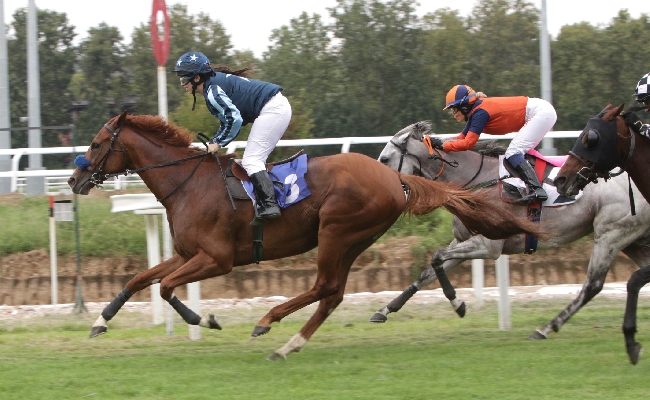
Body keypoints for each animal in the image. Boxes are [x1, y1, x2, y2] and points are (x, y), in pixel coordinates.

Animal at [68, 111, 540, 360]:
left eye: (96, 144)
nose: (74, 180)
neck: (188, 184)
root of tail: (395, 178)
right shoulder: (188, 253)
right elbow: (140, 279)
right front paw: (99, 321)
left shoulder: (216, 259)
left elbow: (165, 286)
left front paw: (205, 319)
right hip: (353, 240)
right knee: (332, 293)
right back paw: (289, 342)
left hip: (336, 231)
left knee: (324, 286)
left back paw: (270, 323)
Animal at [368, 120, 648, 342]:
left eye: (384, 159)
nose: (380, 186)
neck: (473, 182)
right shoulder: (463, 241)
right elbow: (427, 273)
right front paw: (385, 310)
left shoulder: (488, 246)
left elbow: (436, 258)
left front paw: (459, 305)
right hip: (632, 239)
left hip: (610, 234)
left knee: (593, 285)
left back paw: (545, 328)